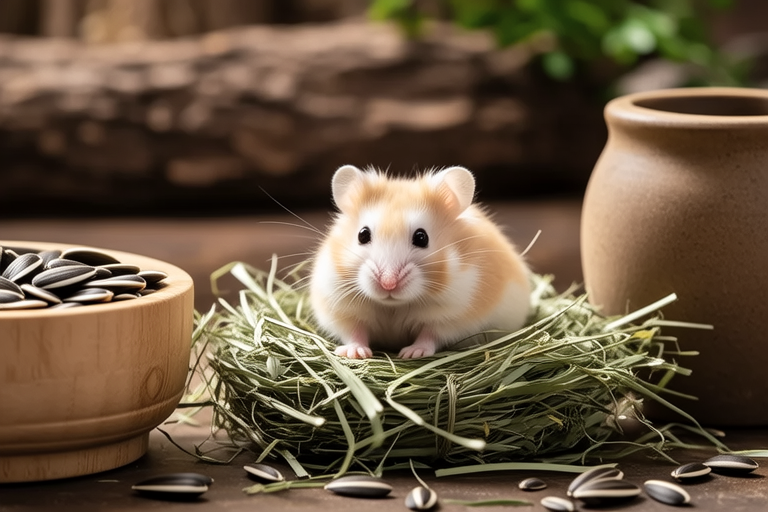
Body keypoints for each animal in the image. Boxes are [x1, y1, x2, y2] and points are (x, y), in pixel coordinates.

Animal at [309, 165, 531, 359]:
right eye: (362, 235)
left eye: (421, 238)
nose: (388, 283)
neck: (394, 306)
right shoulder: (340, 309)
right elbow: (354, 332)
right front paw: (355, 353)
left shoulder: (453, 316)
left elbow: (430, 335)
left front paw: (411, 353)